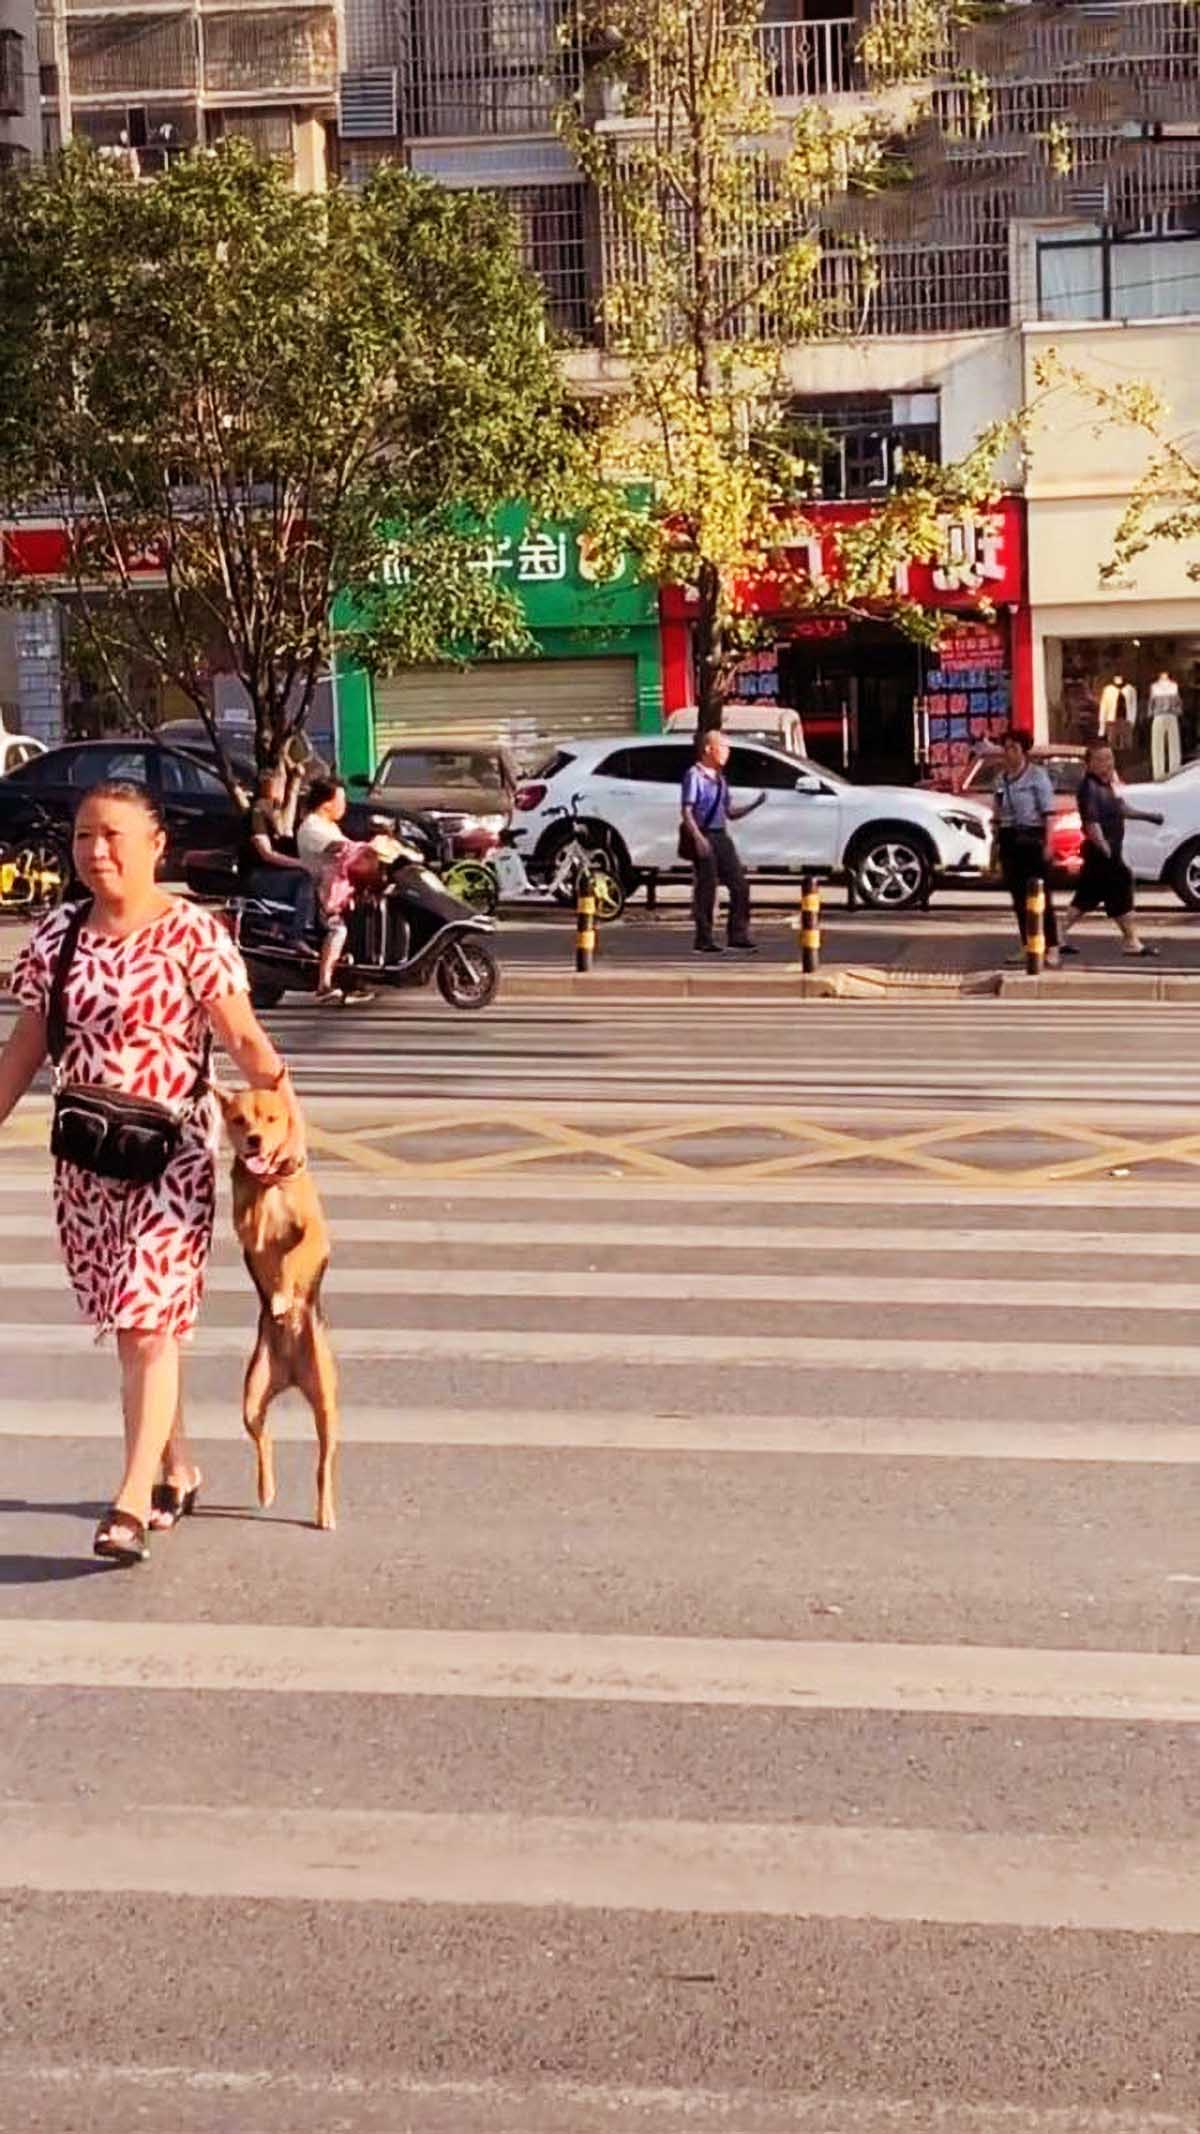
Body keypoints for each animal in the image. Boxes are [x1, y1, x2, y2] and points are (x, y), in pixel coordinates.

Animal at [211, 1092, 337, 1527]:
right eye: (238, 1119)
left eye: (271, 1118)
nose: (254, 1141)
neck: (269, 1184)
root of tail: (292, 1375)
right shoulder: (243, 1225)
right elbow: (251, 1223)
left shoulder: (315, 1235)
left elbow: (292, 1256)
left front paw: (283, 1291)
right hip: (252, 1400)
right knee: (263, 1441)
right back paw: (266, 1489)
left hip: (327, 1406)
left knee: (323, 1465)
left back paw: (325, 1511)